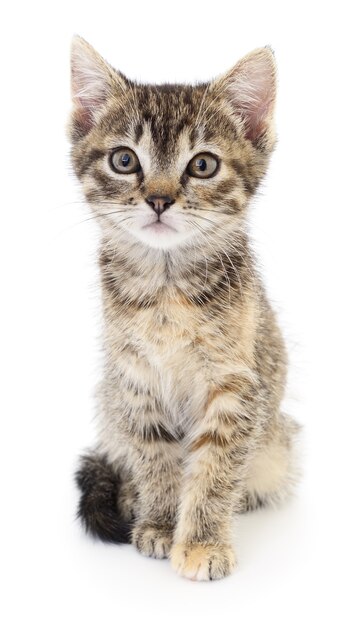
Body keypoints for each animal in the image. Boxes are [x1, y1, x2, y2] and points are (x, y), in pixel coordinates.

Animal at [69, 35, 298, 580]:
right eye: (124, 160)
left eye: (203, 165)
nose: (158, 200)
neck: (167, 289)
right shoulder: (135, 379)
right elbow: (155, 455)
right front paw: (159, 521)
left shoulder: (236, 387)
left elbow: (214, 468)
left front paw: (201, 542)